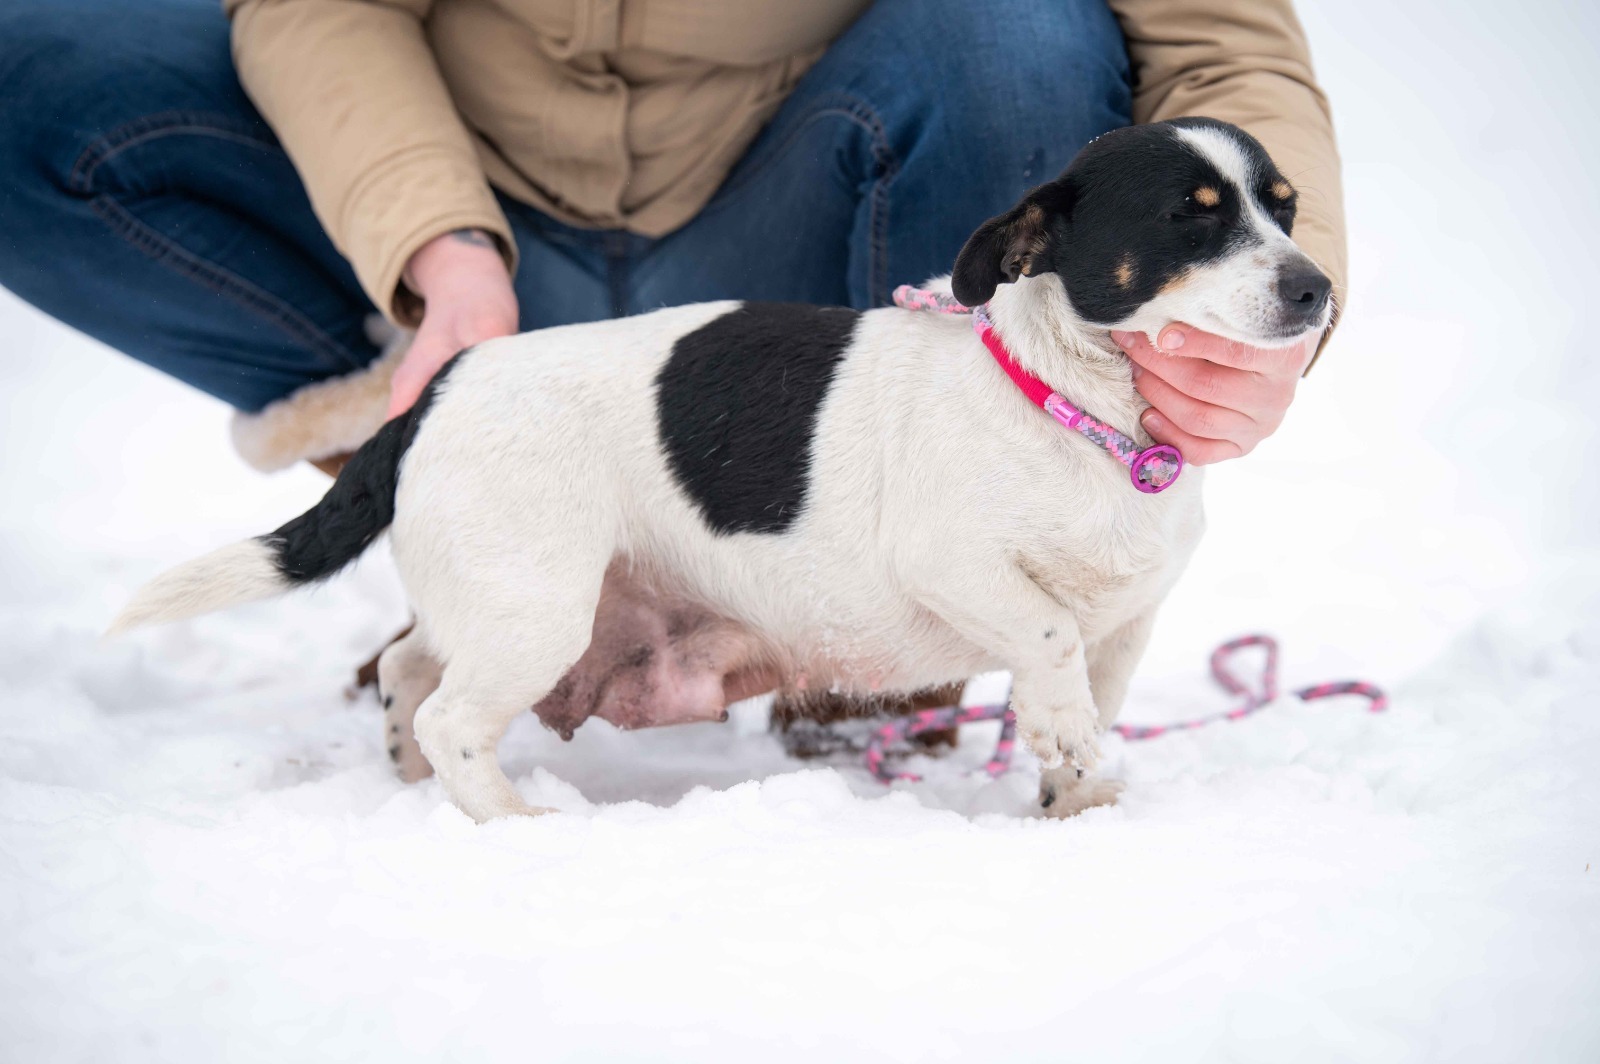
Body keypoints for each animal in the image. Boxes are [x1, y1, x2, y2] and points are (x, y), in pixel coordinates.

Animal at [111, 118, 1333, 823]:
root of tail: (437, 389)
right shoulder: (953, 564)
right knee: (454, 713)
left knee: (411, 667)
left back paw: (411, 780)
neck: (1085, 414)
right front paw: (1065, 740)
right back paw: (513, 823)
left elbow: (1087, 698)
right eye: (1189, 217)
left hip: (493, 598)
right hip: (536, 606)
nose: (1318, 289)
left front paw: (1077, 802)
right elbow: (1046, 644)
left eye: (1284, 207)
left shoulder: (1126, 621)